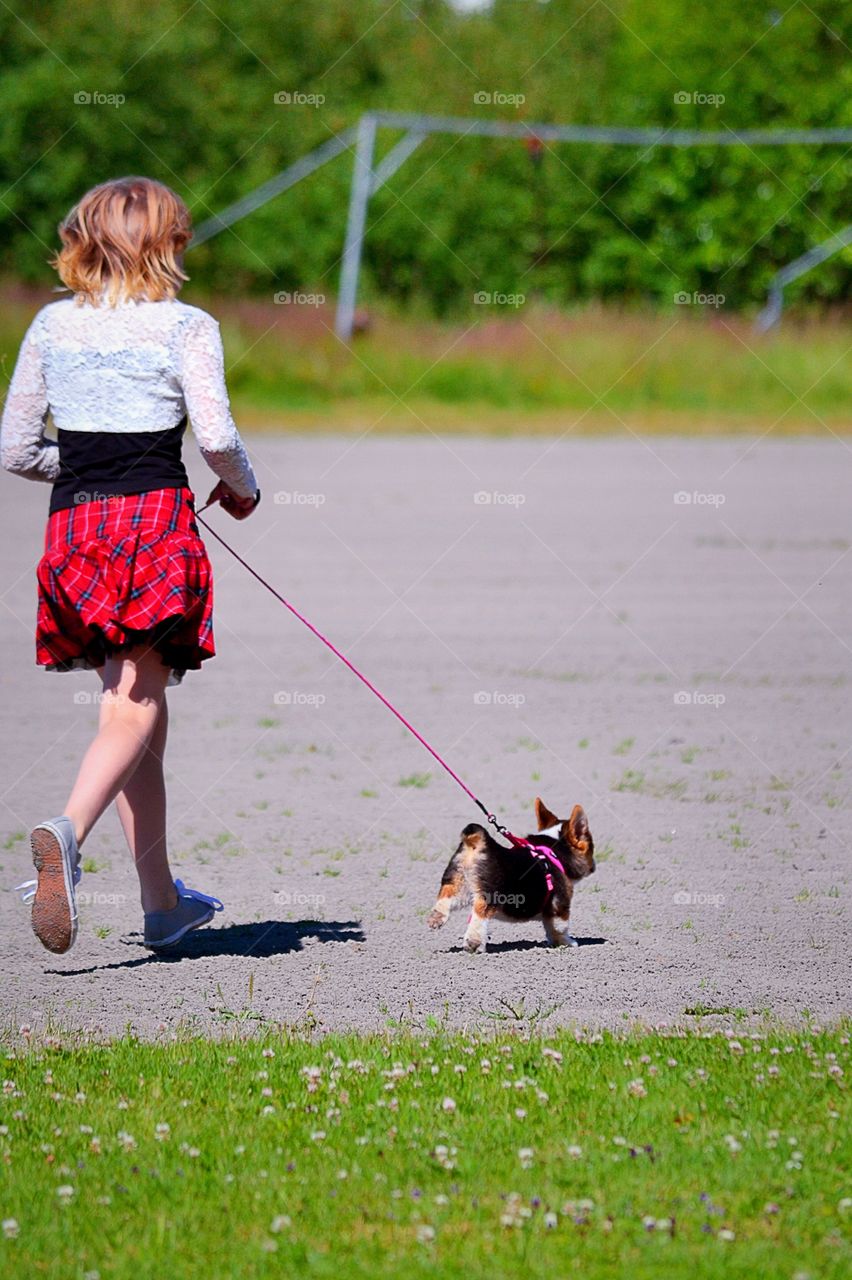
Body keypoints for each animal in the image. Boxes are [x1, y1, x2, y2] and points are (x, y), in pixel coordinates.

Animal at [424, 798, 596, 952]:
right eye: (591, 848)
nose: (594, 866)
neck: (553, 851)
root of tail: (477, 844)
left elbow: (550, 928)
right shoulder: (560, 906)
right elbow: (560, 928)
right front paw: (568, 942)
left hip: (458, 884)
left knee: (446, 896)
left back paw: (436, 917)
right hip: (488, 894)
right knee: (480, 913)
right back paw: (474, 943)